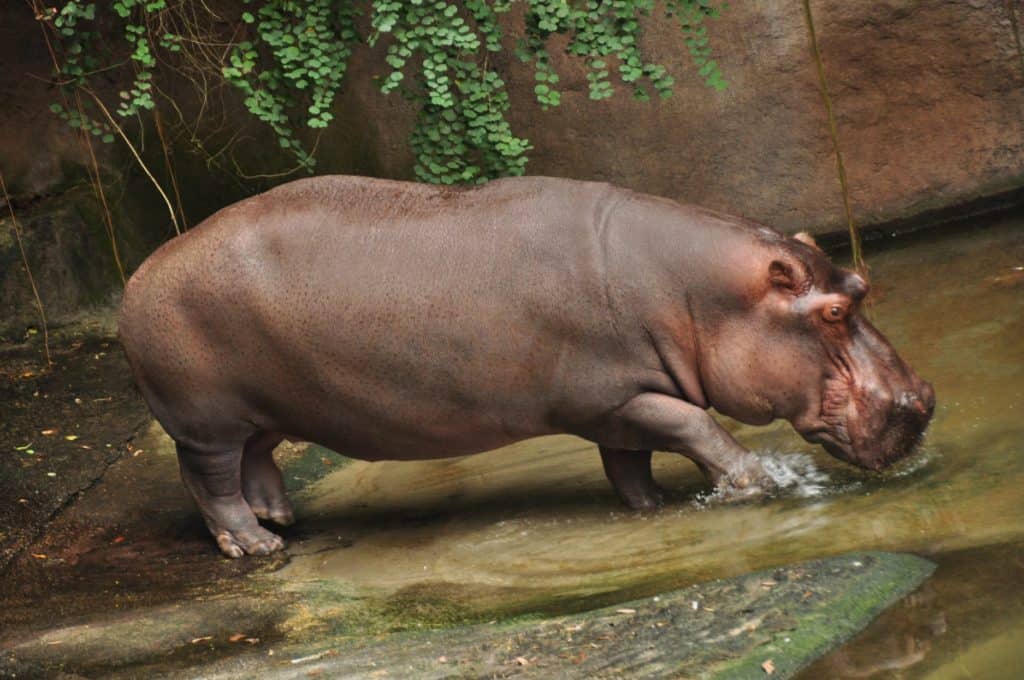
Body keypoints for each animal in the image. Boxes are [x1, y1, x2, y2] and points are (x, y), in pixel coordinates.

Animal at [118, 176, 934, 558]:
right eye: (835, 311)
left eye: (862, 283)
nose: (924, 400)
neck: (698, 294)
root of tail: (138, 275)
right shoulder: (622, 395)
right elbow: (700, 430)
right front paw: (754, 486)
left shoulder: (620, 406)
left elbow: (630, 463)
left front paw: (649, 511)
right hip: (205, 420)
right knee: (210, 479)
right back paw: (253, 544)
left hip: (265, 411)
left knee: (257, 460)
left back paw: (281, 518)